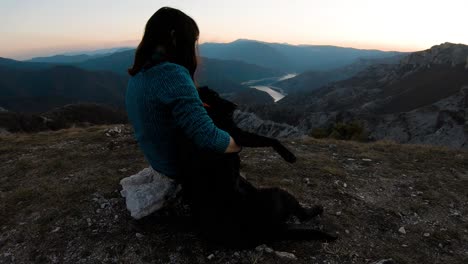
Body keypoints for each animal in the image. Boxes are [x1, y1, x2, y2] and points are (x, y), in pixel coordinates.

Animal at [176, 86, 336, 248]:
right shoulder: (238, 135)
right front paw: (289, 155)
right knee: (302, 215)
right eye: (215, 95)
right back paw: (317, 209)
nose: (235, 105)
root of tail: (273, 230)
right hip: (279, 193)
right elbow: (270, 139)